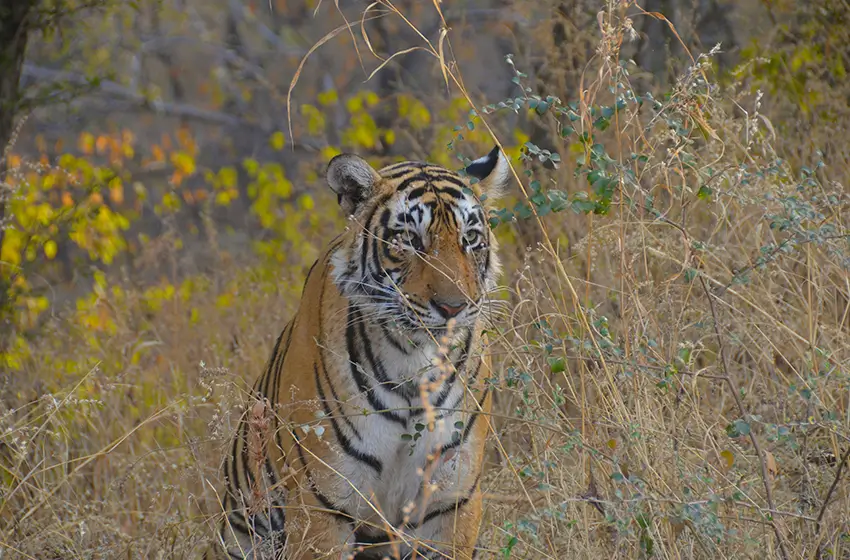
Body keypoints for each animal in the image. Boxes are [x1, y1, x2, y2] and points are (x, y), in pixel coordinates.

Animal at [206, 145, 509, 560]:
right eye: (409, 240)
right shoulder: (324, 503)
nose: (453, 307)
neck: (414, 362)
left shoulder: (451, 498)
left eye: (471, 238)